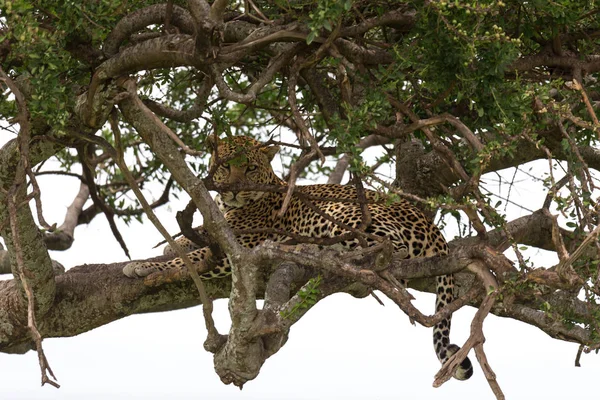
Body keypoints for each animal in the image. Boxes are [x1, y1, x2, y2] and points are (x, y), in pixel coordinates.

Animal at [123, 135, 474, 382]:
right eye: (225, 165)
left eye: (250, 168)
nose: (234, 188)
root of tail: (432, 226)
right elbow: (190, 242)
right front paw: (172, 245)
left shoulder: (240, 249)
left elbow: (189, 259)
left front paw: (143, 265)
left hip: (340, 212)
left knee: (389, 246)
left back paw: (319, 250)